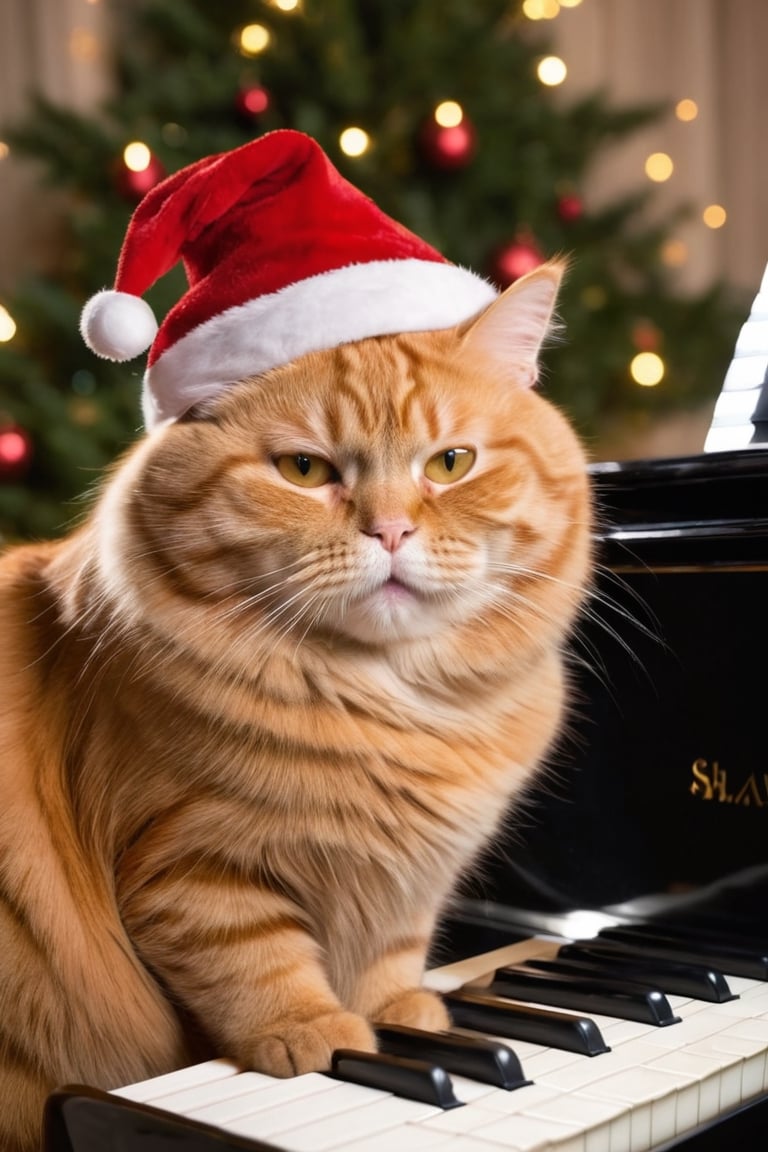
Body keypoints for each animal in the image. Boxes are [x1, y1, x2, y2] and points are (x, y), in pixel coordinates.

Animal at [0, 256, 594, 1147]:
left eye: (450, 464)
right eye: (306, 472)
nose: (391, 531)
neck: (398, 708)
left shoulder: (409, 883)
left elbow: (391, 952)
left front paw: (402, 1015)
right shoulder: (185, 861)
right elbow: (255, 958)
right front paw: (315, 1035)